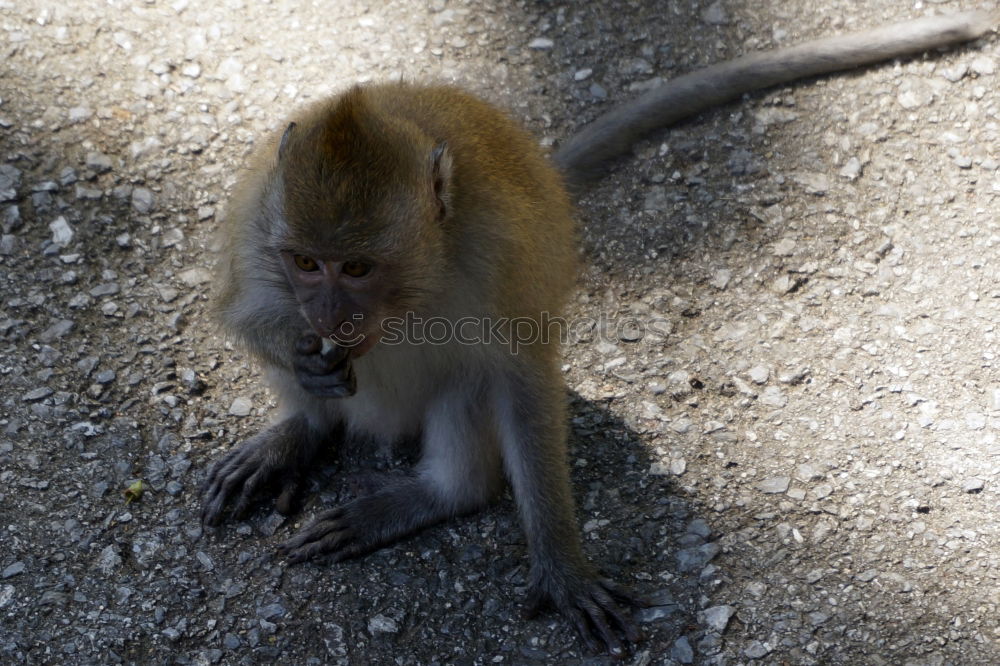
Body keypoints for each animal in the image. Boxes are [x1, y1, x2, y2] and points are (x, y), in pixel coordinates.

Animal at [199, 9, 996, 652]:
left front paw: (561, 564)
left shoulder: (502, 258)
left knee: (469, 391)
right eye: (308, 263)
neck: (419, 275)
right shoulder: (258, 224)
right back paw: (299, 431)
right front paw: (304, 364)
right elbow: (242, 311)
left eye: (358, 268)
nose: (329, 319)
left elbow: (521, 380)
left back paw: (434, 495)